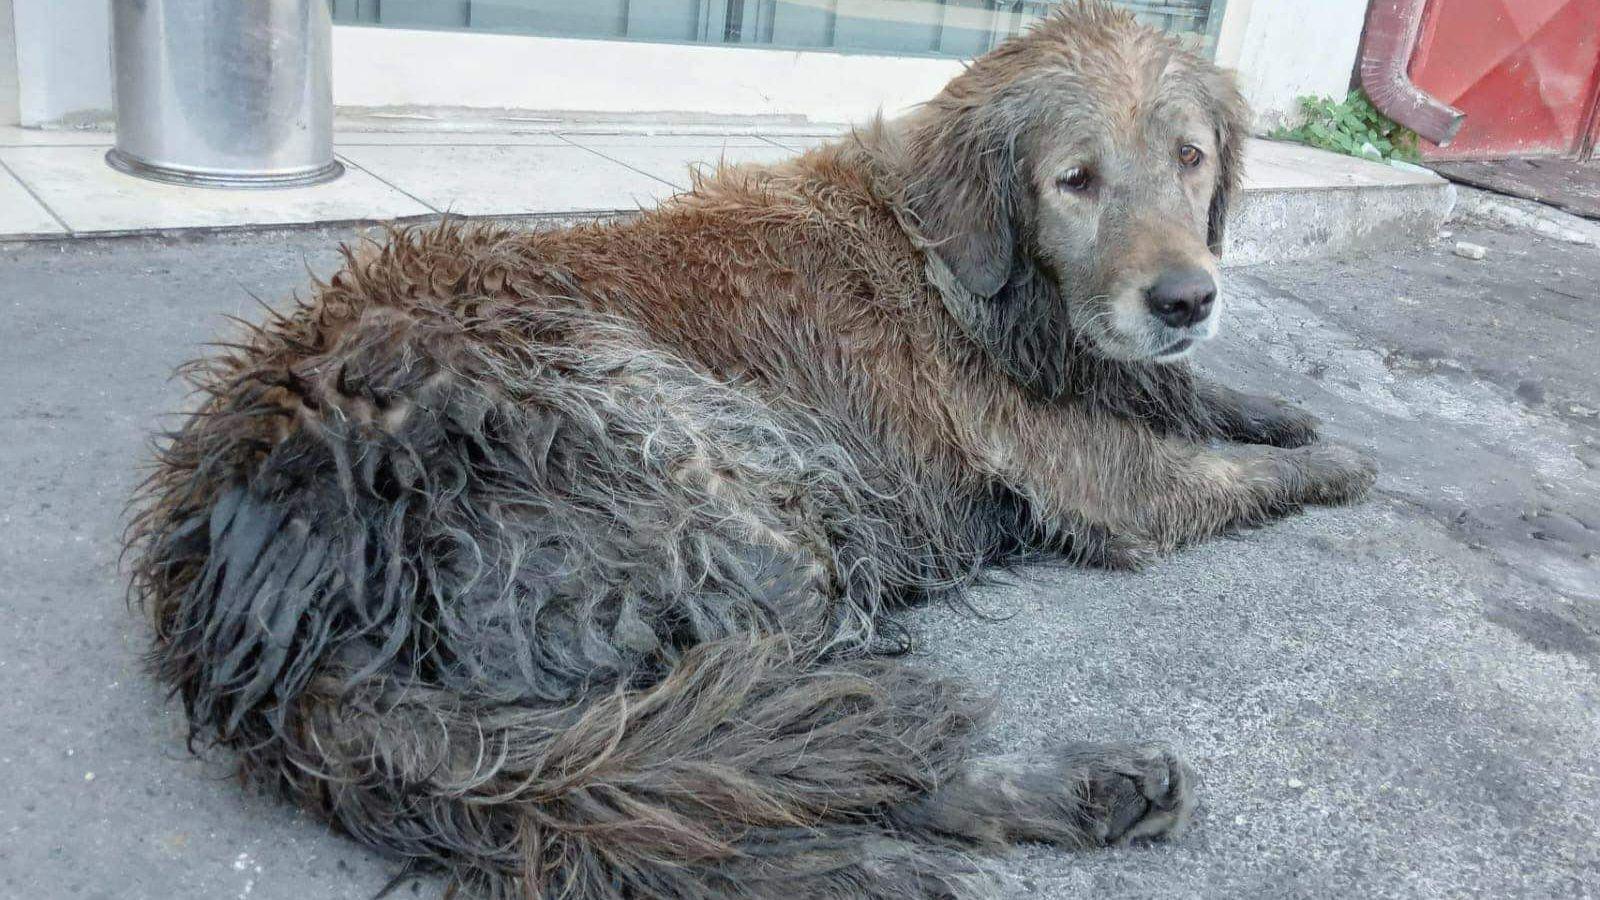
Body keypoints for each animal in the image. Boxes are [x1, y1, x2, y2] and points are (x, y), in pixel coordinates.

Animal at [128, 3, 1376, 890]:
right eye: (1076, 180)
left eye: (1191, 159)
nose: (1186, 296)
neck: (963, 261)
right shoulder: (1092, 477)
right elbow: (1211, 473)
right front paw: (1332, 464)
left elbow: (1190, 396)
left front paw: (1276, 407)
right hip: (738, 482)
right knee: (805, 737)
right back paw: (1080, 782)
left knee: (779, 747)